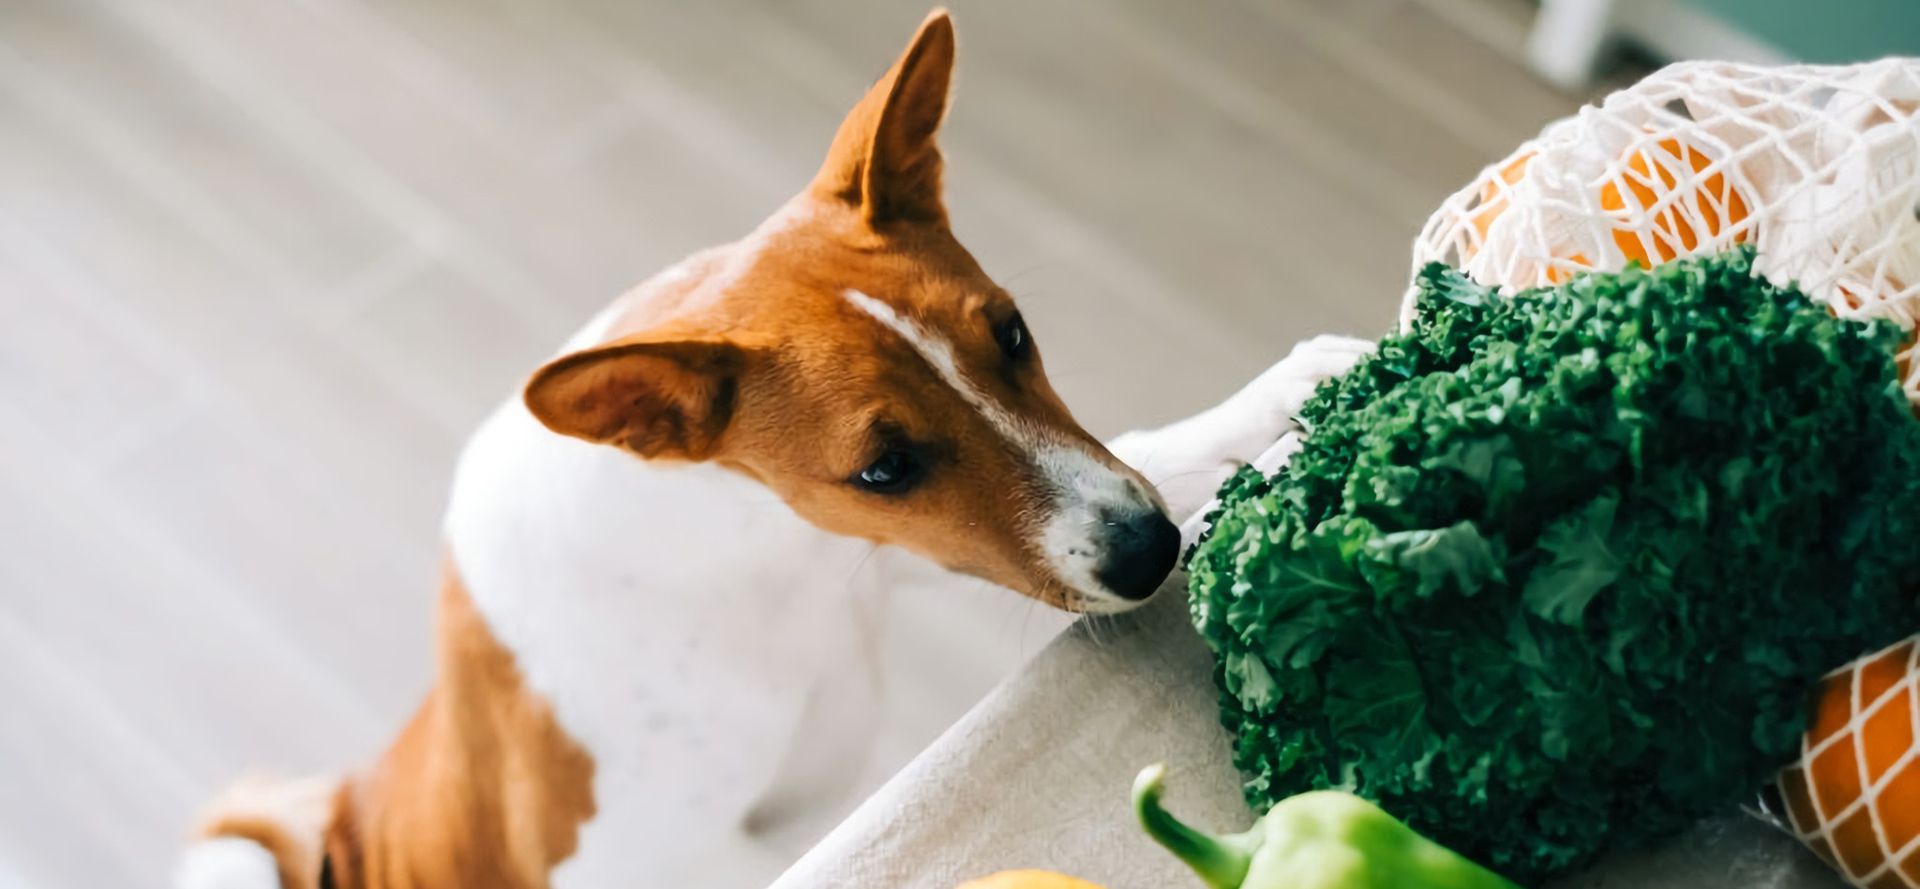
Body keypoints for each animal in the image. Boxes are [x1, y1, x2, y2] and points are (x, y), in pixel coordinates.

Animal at [180, 12, 1374, 889]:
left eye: (1013, 334)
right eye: (882, 469)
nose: (1148, 554)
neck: (744, 559)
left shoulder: (894, 555)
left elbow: (1136, 447)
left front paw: (1288, 389)